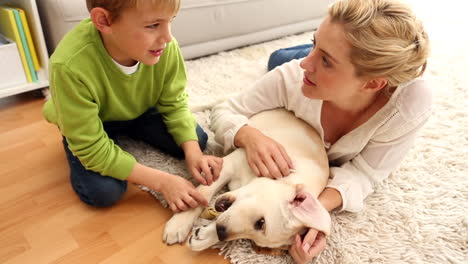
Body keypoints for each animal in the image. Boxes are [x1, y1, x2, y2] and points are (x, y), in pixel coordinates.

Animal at [163, 108, 330, 251]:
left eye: (258, 228)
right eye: (261, 222)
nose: (222, 233)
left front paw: (207, 236)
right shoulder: (227, 165)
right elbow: (203, 192)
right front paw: (179, 223)